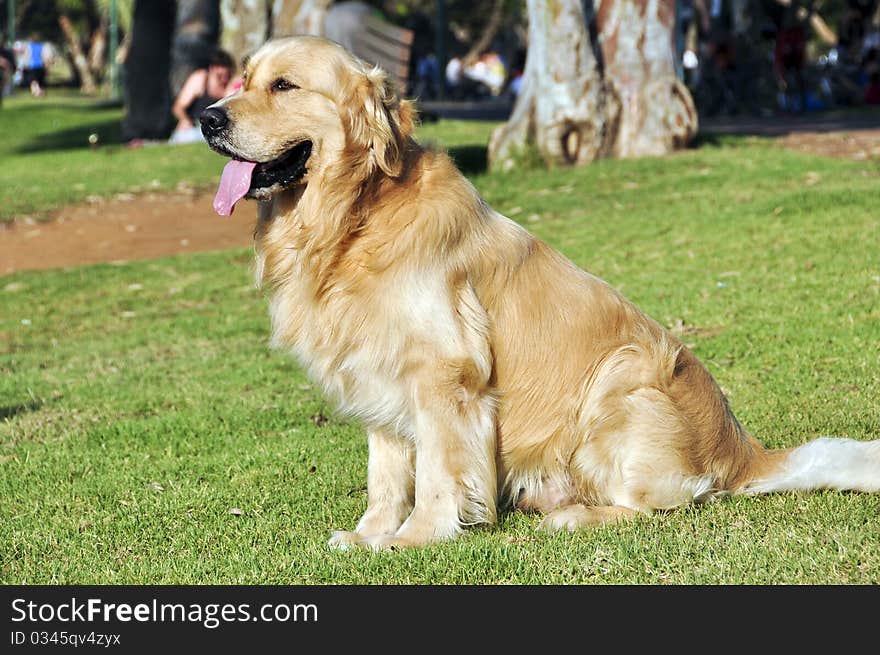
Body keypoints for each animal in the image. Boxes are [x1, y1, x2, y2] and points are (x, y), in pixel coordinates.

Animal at [201, 36, 880, 548]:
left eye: (283, 86)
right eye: (243, 78)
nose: (208, 117)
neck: (354, 219)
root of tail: (743, 451)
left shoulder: (445, 373)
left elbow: (437, 471)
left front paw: (417, 536)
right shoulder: (379, 373)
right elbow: (386, 475)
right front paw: (370, 535)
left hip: (623, 374)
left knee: (666, 502)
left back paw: (574, 515)